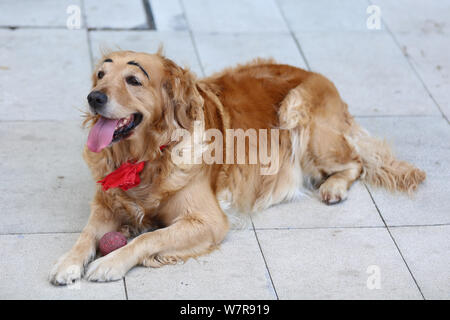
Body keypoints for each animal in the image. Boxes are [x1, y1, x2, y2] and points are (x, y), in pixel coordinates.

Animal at [49, 50, 426, 284]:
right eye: (100, 74)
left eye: (133, 79)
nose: (94, 97)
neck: (145, 158)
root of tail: (317, 74)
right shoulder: (105, 204)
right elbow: (86, 235)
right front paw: (68, 262)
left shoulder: (209, 221)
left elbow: (148, 238)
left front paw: (110, 262)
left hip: (300, 114)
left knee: (356, 161)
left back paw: (333, 186)